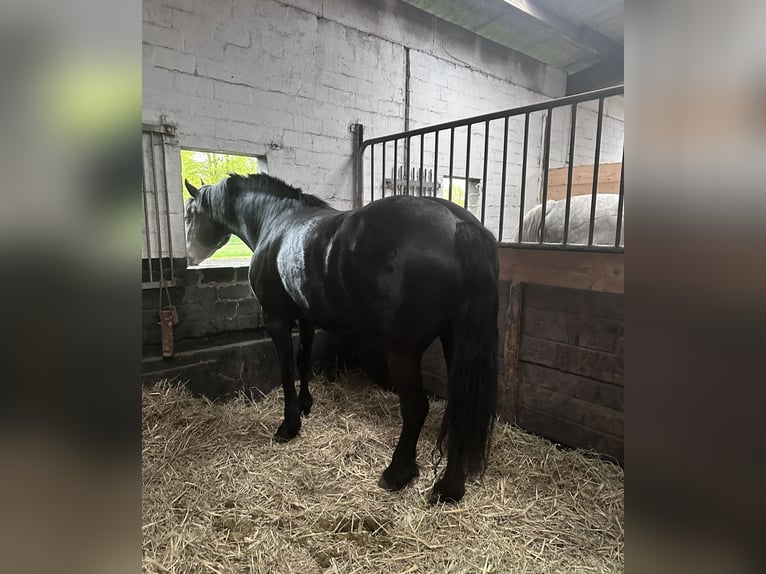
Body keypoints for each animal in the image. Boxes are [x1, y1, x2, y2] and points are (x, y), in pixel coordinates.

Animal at [184, 174, 500, 504]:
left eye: (190, 214)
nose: (190, 255)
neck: (275, 220)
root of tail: (457, 224)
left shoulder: (276, 319)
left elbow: (286, 369)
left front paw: (289, 425)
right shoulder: (306, 317)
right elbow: (303, 359)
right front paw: (306, 405)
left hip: (405, 350)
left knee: (416, 408)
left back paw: (397, 474)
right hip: (455, 341)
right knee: (460, 410)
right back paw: (449, 488)